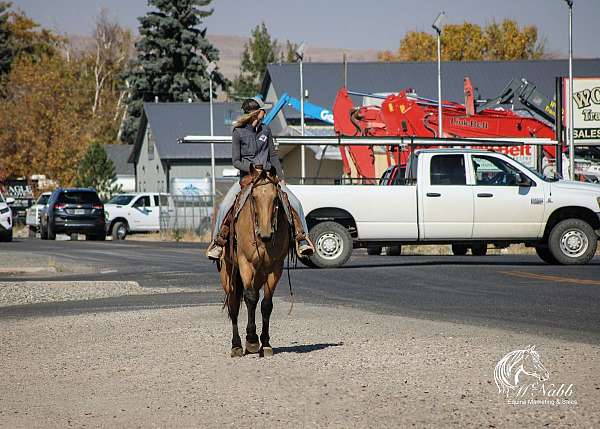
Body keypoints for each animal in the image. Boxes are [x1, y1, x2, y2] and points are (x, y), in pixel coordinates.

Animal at [219, 166, 294, 356]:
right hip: (228, 274)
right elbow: (251, 298)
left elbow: (266, 304)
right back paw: (237, 345)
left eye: (276, 198)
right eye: (253, 197)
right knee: (233, 305)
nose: (266, 234)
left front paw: (265, 343)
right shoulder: (245, 263)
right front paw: (252, 340)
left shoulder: (275, 267)